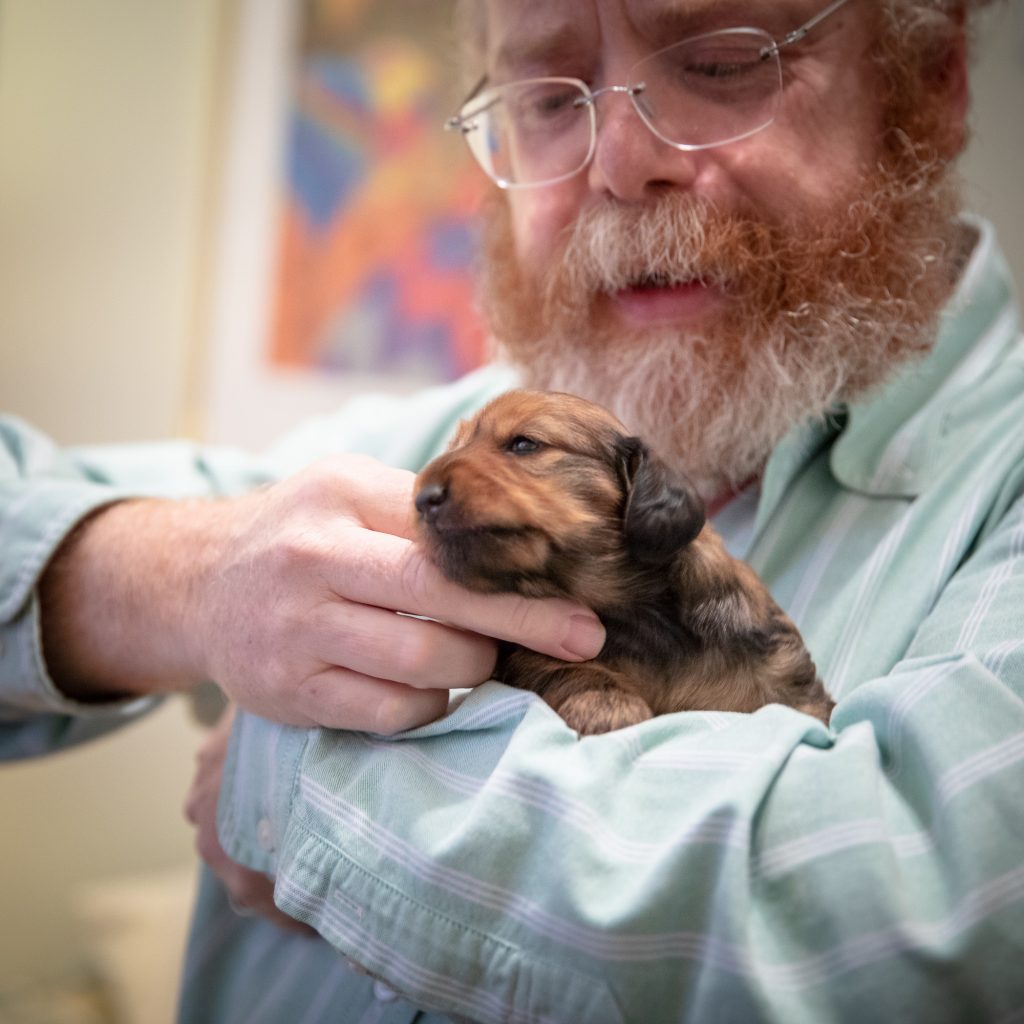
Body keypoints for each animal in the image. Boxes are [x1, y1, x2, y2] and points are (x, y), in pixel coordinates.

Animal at [409, 387, 831, 733]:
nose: (422, 498)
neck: (635, 616)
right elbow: (563, 667)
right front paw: (608, 706)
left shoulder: (779, 670)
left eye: (524, 444)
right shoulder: (533, 656)